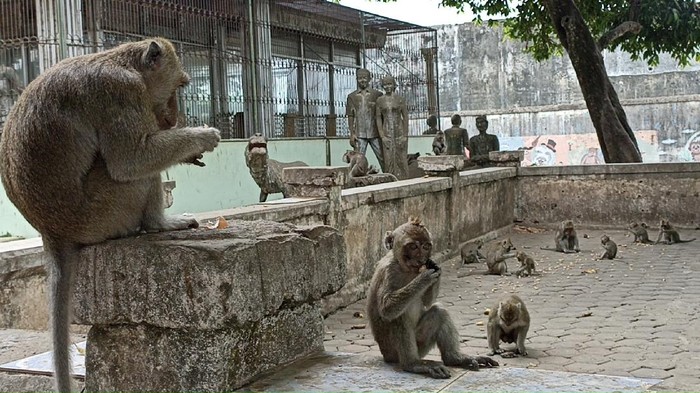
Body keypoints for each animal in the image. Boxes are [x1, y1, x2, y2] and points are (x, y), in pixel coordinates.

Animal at [0, 37, 219, 392]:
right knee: (134, 174)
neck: (124, 62)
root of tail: (52, 232)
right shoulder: (122, 93)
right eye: (177, 87)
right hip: (105, 211)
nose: (173, 118)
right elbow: (130, 161)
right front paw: (201, 137)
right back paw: (158, 224)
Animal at [366, 216, 498, 378]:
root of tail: (385, 355)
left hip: (421, 344)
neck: (405, 268)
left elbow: (427, 303)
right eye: (413, 246)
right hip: (392, 352)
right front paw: (424, 278)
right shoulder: (388, 271)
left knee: (439, 311)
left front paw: (435, 269)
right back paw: (413, 364)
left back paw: (454, 358)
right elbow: (387, 309)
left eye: (426, 246)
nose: (422, 258)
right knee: (398, 318)